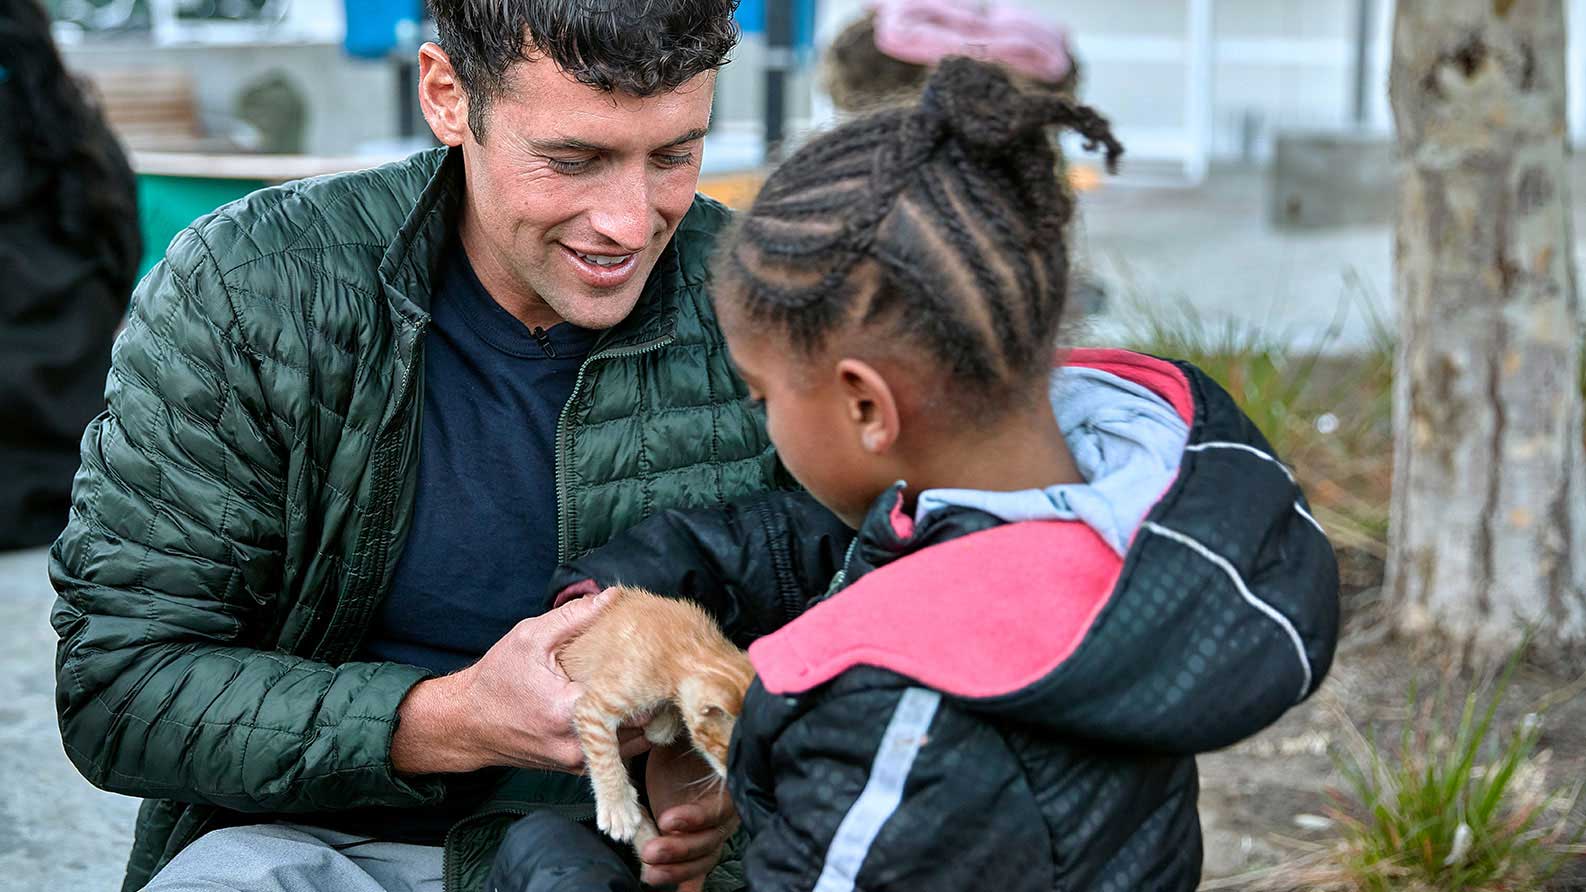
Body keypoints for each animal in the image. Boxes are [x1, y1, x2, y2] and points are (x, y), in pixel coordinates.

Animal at [558, 584, 754, 844]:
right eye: (733, 755)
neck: (689, 644)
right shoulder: (594, 706)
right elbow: (603, 752)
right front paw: (617, 806)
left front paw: (660, 725)